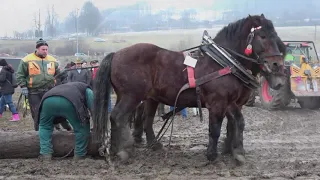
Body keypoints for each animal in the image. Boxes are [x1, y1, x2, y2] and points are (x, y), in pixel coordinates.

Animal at [92, 14, 288, 163]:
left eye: (275, 36)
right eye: (262, 36)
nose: (277, 65)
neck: (224, 62)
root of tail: (116, 54)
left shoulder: (232, 103)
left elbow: (234, 123)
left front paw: (233, 150)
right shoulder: (218, 102)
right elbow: (216, 128)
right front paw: (213, 155)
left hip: (140, 97)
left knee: (142, 119)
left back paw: (141, 145)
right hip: (131, 96)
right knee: (117, 116)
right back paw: (122, 150)